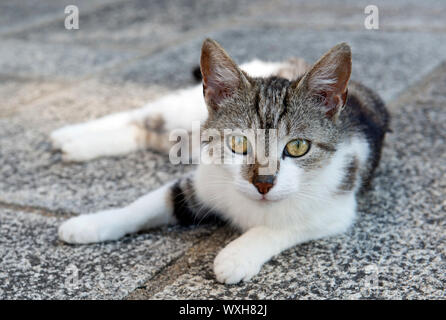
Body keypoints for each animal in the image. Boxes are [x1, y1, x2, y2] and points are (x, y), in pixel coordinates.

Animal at [55, 38, 390, 284]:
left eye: (297, 147)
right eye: (238, 143)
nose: (263, 182)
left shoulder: (337, 204)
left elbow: (287, 225)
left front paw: (236, 256)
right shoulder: (201, 183)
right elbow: (144, 205)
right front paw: (92, 223)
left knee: (147, 132)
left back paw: (76, 144)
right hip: (186, 109)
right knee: (144, 115)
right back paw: (71, 135)